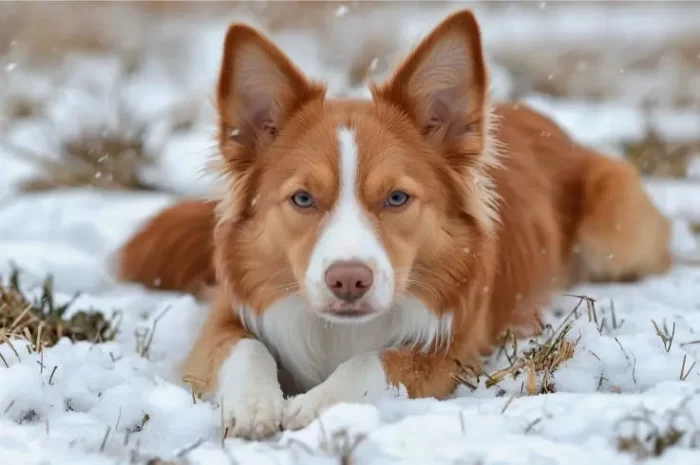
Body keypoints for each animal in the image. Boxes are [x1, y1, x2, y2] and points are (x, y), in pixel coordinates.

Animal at [116, 10, 672, 438]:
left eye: (397, 198)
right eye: (302, 198)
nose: (348, 281)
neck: (337, 332)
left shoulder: (454, 351)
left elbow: (378, 362)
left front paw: (314, 405)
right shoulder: (226, 314)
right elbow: (246, 347)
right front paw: (254, 405)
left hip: (614, 222)